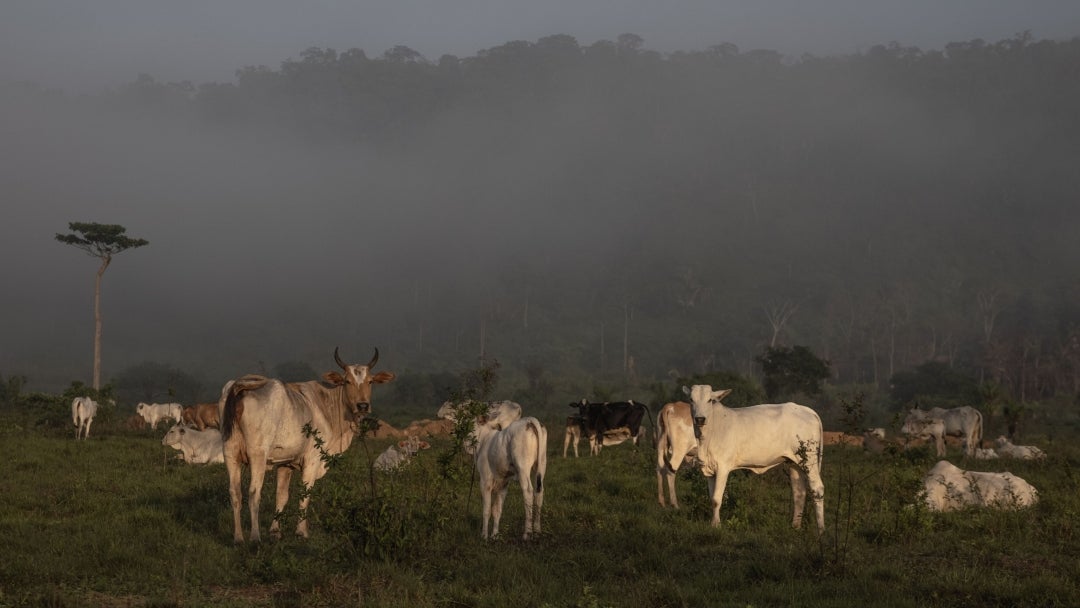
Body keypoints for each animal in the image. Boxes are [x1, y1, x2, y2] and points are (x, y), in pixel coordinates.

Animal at [218, 347, 393, 542]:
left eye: (370, 381)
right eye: (347, 381)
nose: (362, 405)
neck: (326, 404)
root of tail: (239, 385)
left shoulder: (285, 462)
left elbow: (281, 495)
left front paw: (275, 531)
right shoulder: (313, 459)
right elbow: (305, 494)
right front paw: (301, 531)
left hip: (230, 453)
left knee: (235, 493)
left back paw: (238, 537)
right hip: (258, 456)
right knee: (254, 493)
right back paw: (255, 537)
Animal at [682, 382, 825, 535]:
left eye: (710, 400)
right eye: (691, 399)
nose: (700, 419)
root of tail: (809, 411)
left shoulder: (723, 467)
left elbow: (716, 499)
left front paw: (716, 525)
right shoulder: (710, 471)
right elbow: (711, 498)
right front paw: (713, 524)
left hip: (809, 459)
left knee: (817, 489)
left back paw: (821, 530)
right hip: (794, 462)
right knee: (799, 492)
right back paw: (795, 527)